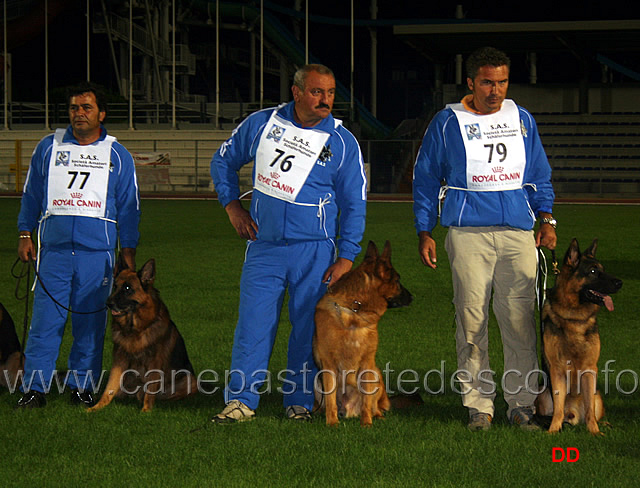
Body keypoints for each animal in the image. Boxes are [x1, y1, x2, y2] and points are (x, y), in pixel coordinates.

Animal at [89, 258, 196, 414]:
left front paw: (145, 410)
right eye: (115, 286)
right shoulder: (119, 360)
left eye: (127, 288)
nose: (108, 303)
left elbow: (150, 390)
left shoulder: (154, 363)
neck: (135, 329)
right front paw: (97, 407)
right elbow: (109, 388)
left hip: (189, 380)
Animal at [312, 242, 412, 426]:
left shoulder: (367, 363)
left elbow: (367, 401)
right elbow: (330, 400)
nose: (412, 297)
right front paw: (332, 423)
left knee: (374, 405)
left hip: (376, 374)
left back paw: (377, 416)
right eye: (397, 280)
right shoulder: (328, 365)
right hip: (317, 381)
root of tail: (348, 408)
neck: (354, 310)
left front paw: (366, 424)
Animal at [536, 239, 620, 434]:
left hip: (598, 396)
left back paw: (603, 425)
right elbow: (558, 408)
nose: (619, 282)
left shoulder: (589, 369)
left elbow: (589, 410)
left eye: (603, 269)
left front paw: (594, 432)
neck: (574, 318)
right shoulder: (557, 370)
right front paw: (553, 430)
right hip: (542, 393)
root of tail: (572, 414)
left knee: (594, 411)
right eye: (593, 271)